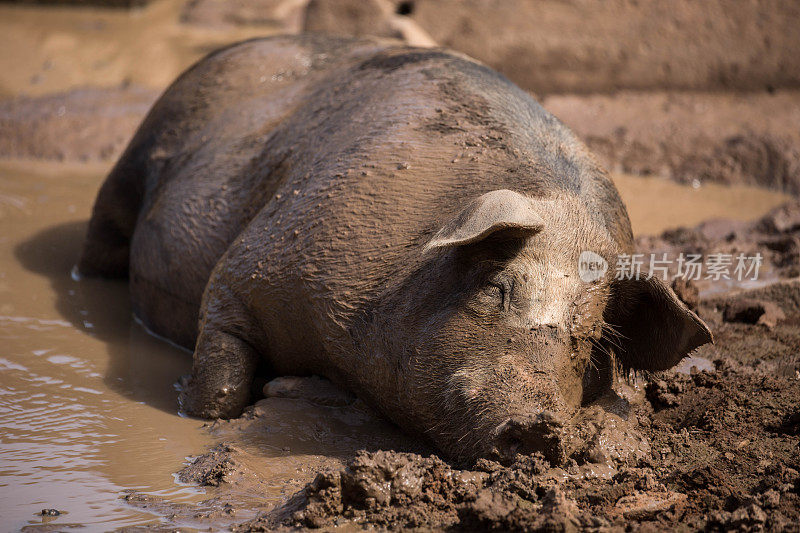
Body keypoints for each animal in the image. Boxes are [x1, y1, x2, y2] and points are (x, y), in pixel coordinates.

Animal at [78, 35, 708, 464]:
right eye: (498, 288)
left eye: (591, 340)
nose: (540, 426)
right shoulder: (247, 268)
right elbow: (220, 382)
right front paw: (195, 402)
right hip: (126, 172)